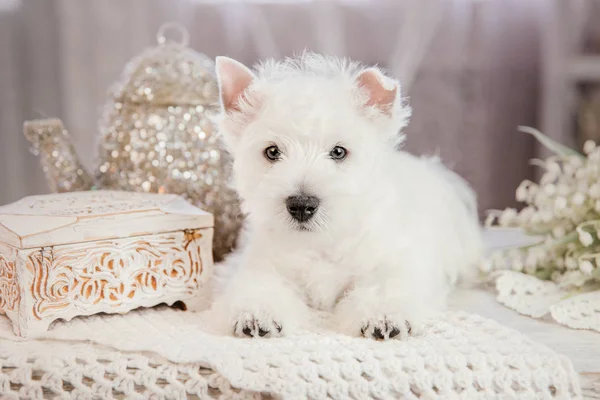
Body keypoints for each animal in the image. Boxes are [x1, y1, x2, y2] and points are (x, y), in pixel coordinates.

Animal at [211, 53, 482, 340]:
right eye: (272, 152)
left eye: (339, 152)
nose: (301, 205)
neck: (323, 242)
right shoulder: (259, 263)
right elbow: (258, 284)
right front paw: (257, 314)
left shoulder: (398, 262)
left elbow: (385, 285)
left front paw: (383, 317)